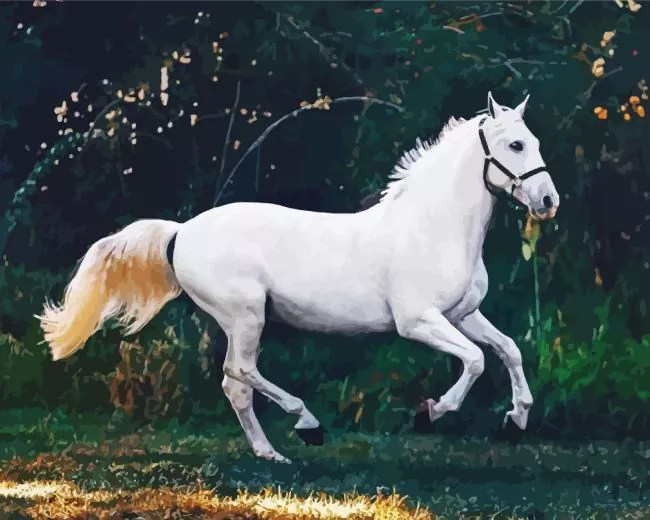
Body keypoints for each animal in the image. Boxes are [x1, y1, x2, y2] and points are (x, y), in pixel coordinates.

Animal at [38, 92, 559, 464]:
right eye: (515, 144)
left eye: (536, 142)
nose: (548, 201)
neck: (433, 227)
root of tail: (181, 231)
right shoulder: (418, 322)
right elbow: (475, 360)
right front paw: (432, 412)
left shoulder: (463, 314)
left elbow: (508, 350)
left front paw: (516, 418)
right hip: (246, 315)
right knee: (240, 372)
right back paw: (307, 425)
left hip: (241, 321)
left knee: (235, 385)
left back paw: (271, 453)